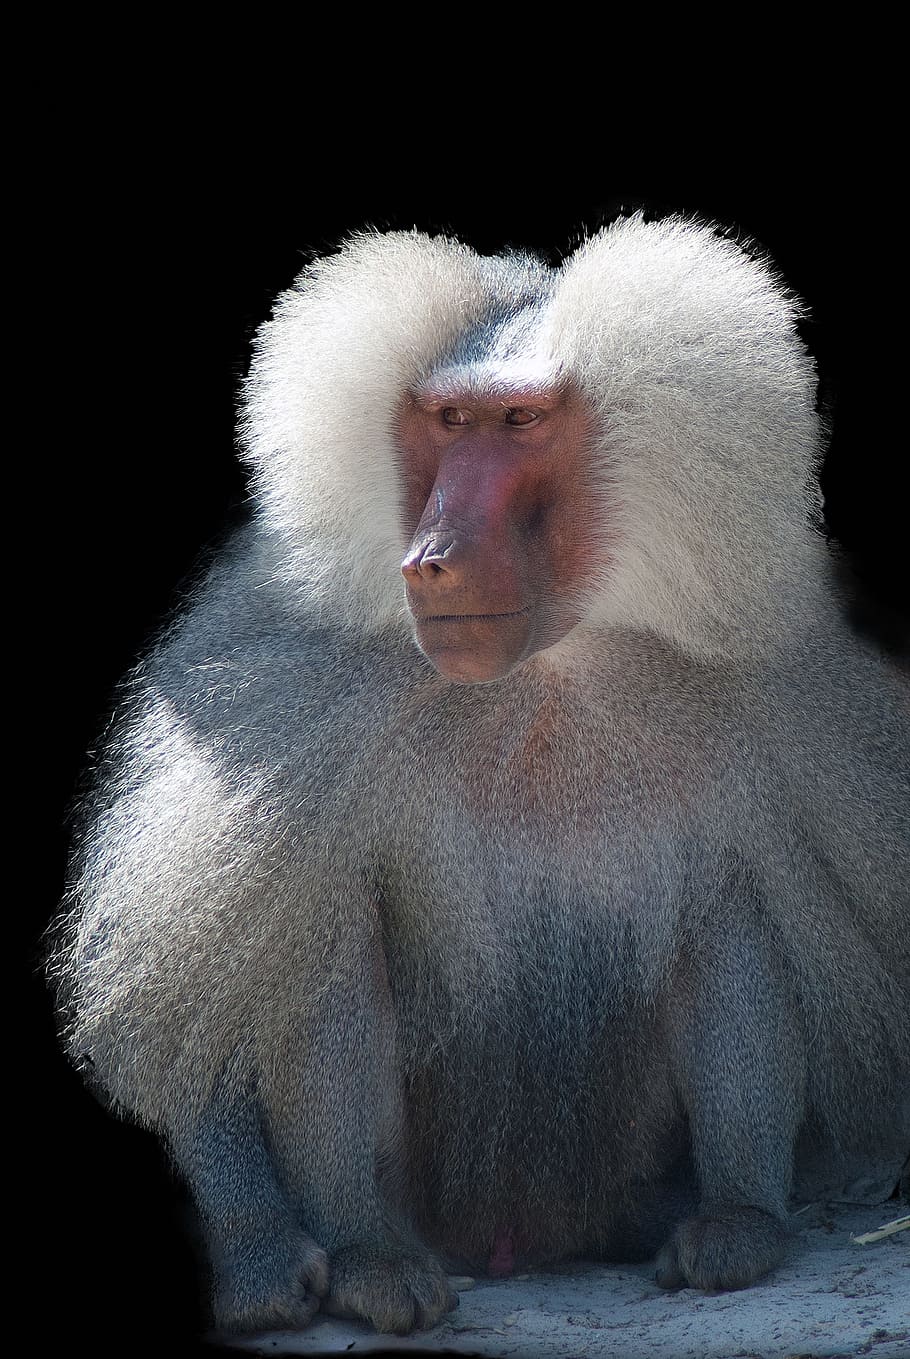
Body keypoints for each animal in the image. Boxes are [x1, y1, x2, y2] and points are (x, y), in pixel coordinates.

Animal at [49, 215, 910, 1338]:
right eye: (449, 420)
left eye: (520, 422)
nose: (432, 559)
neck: (542, 669)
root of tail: (519, 1240)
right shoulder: (277, 682)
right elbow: (192, 998)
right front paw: (260, 1256)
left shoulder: (782, 679)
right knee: (329, 927)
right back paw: (372, 1258)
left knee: (730, 900)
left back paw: (733, 1224)